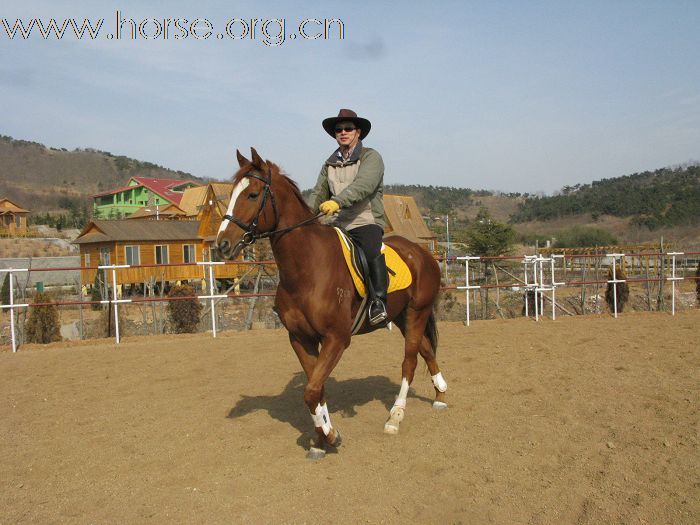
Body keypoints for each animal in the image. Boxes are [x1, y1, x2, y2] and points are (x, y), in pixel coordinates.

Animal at [216, 147, 452, 458]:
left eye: (253, 194)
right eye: (232, 192)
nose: (221, 244)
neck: (307, 267)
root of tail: (423, 253)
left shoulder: (336, 338)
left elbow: (311, 391)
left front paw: (330, 435)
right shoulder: (301, 338)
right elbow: (315, 389)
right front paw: (321, 438)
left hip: (417, 312)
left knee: (410, 361)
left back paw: (395, 417)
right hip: (401, 316)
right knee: (425, 350)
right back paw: (440, 394)